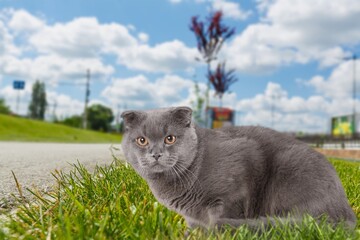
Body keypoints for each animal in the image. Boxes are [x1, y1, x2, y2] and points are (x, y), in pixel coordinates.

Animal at [121, 106, 358, 230]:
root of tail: (346, 213)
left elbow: (224, 213)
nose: (156, 153)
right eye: (142, 140)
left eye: (169, 138)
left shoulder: (236, 183)